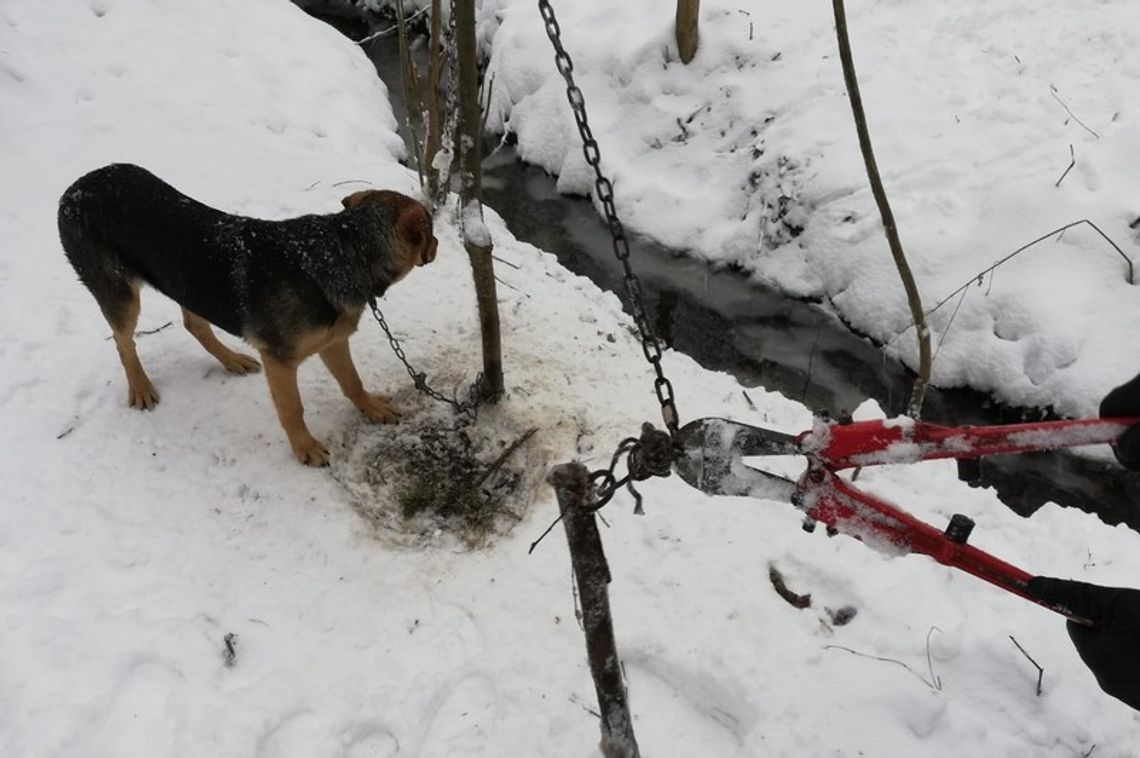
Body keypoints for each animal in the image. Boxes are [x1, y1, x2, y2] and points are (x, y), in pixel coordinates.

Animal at [57, 162, 440, 465]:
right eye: (430, 231)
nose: (436, 245)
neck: (344, 248)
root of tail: (76, 187)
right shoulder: (280, 361)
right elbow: (293, 409)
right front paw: (305, 448)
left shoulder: (333, 343)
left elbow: (352, 382)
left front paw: (372, 408)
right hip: (121, 296)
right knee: (124, 342)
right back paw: (140, 386)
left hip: (187, 282)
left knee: (193, 323)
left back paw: (231, 360)